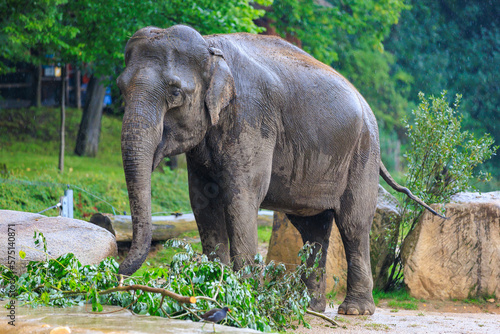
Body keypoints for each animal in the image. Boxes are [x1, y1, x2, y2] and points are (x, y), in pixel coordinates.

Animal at [118, 25, 442, 316]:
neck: (210, 46)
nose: (117, 273)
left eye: (175, 93)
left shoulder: (252, 118)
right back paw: (310, 307)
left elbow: (242, 197)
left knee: (353, 224)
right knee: (313, 230)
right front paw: (210, 288)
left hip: (364, 153)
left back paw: (354, 311)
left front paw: (243, 298)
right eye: (121, 88)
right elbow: (202, 201)